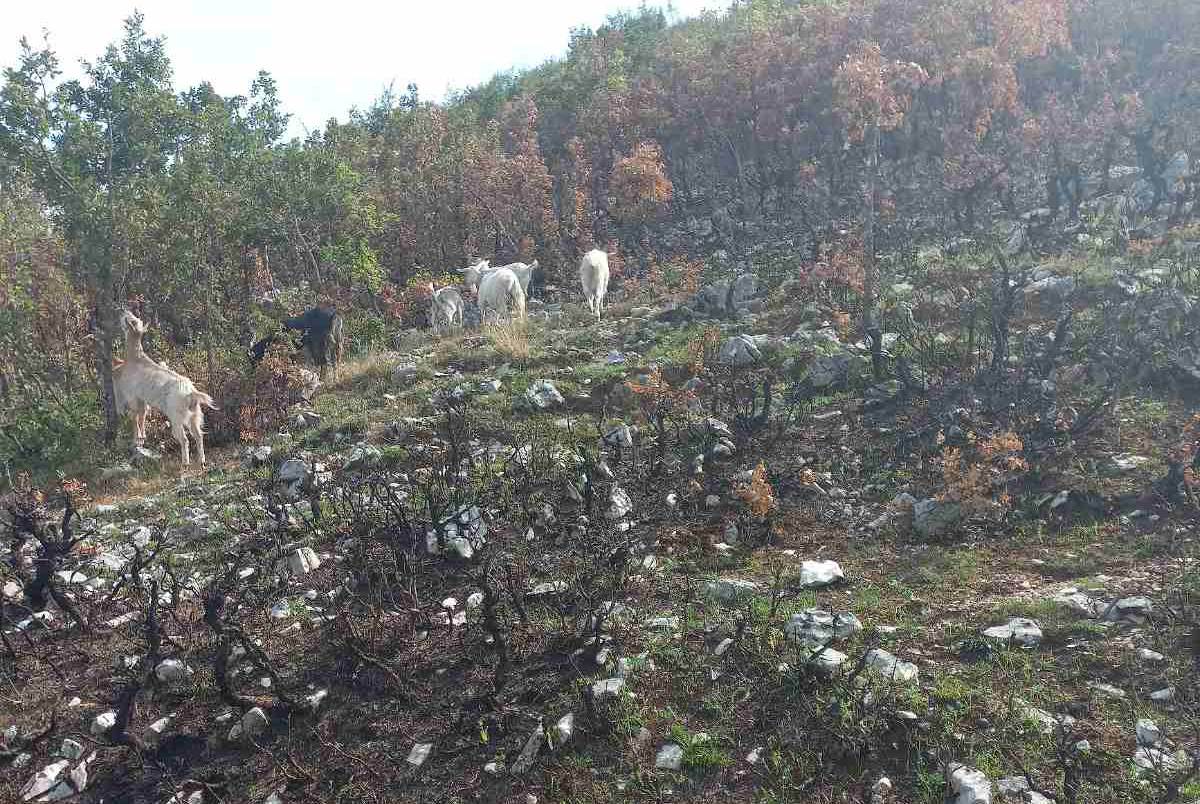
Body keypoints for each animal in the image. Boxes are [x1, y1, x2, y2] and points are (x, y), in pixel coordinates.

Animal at [112, 312, 218, 470]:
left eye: (130, 320)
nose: (123, 312)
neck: (135, 359)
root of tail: (191, 393)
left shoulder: (133, 397)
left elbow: (134, 417)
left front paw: (136, 440)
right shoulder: (143, 400)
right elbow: (142, 416)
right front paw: (142, 438)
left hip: (176, 416)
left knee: (185, 439)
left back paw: (185, 462)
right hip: (195, 415)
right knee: (199, 435)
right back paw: (202, 461)